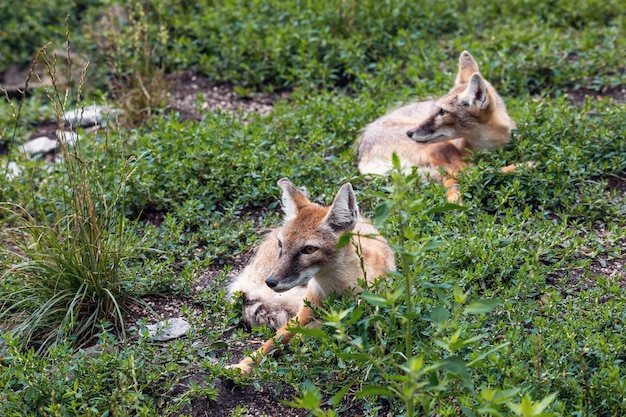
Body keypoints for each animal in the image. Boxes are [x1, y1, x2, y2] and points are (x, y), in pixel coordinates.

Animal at [227, 177, 394, 376]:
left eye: (309, 249)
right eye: (281, 244)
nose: (270, 281)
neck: (335, 290)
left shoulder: (361, 311)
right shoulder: (305, 310)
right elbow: (271, 342)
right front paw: (242, 366)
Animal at [356, 49, 528, 202]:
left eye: (442, 111)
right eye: (435, 109)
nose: (409, 133)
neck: (490, 146)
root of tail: (362, 155)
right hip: (441, 147)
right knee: (465, 172)